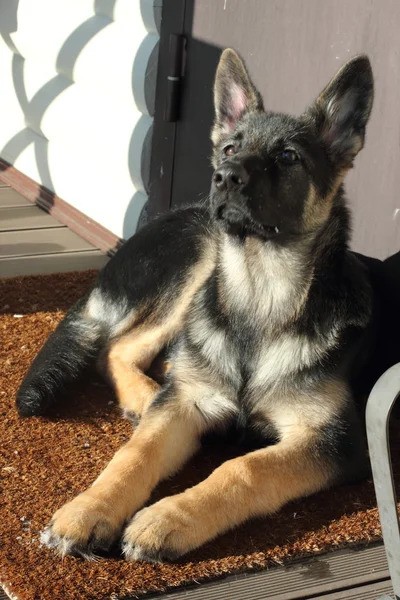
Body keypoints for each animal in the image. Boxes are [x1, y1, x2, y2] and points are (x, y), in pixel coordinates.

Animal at [18, 49, 376, 560]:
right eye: (229, 149)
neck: (259, 298)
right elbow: (135, 453)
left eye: (288, 157)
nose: (223, 178)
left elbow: (244, 467)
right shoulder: (183, 406)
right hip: (203, 254)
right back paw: (147, 397)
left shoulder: (335, 441)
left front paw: (169, 517)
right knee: (118, 349)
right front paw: (90, 508)